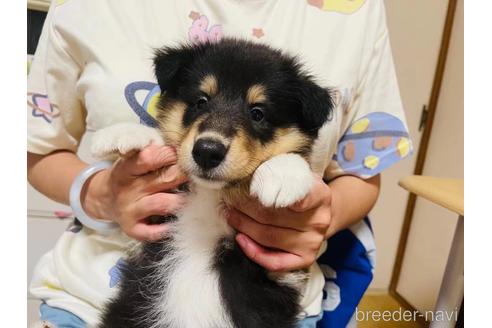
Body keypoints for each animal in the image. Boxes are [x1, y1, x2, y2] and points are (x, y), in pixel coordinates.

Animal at [93, 39, 334, 328]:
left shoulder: (276, 267)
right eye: (201, 101)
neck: (211, 196)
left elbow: (293, 159)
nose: (207, 151)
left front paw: (283, 175)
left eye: (258, 113)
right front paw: (124, 133)